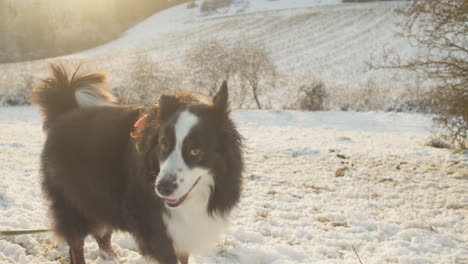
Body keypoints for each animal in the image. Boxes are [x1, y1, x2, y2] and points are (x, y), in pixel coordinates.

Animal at [32, 64, 245, 264]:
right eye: (163, 144)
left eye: (195, 150)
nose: (162, 188)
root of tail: (64, 111)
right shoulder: (153, 224)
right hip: (72, 201)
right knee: (77, 244)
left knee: (102, 234)